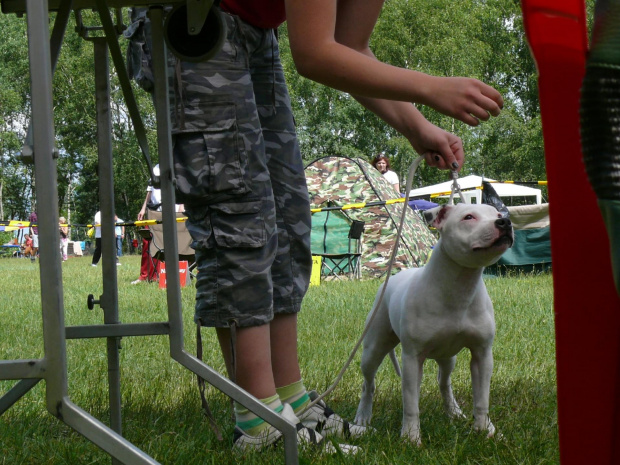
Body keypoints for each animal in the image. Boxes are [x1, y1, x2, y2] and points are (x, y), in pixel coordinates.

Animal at [354, 202, 512, 442]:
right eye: (468, 217)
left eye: (498, 213)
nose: (505, 222)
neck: (459, 287)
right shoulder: (412, 357)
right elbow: (411, 403)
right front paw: (410, 437)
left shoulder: (482, 355)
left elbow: (482, 398)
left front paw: (486, 430)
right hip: (373, 349)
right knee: (368, 384)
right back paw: (362, 418)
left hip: (448, 357)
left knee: (443, 381)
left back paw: (454, 412)